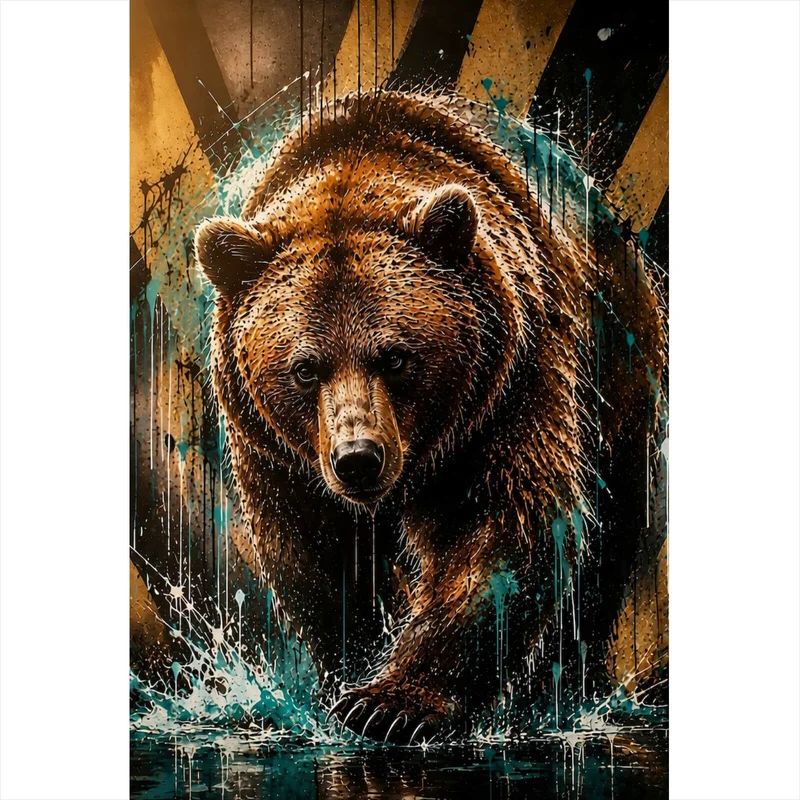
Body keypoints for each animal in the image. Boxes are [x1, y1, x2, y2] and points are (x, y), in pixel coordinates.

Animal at [195, 91, 666, 742]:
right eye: (305, 368)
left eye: (395, 355)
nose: (358, 459)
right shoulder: (278, 454)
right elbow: (315, 559)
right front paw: (347, 675)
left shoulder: (509, 387)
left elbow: (500, 528)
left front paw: (391, 703)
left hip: (619, 380)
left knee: (607, 549)